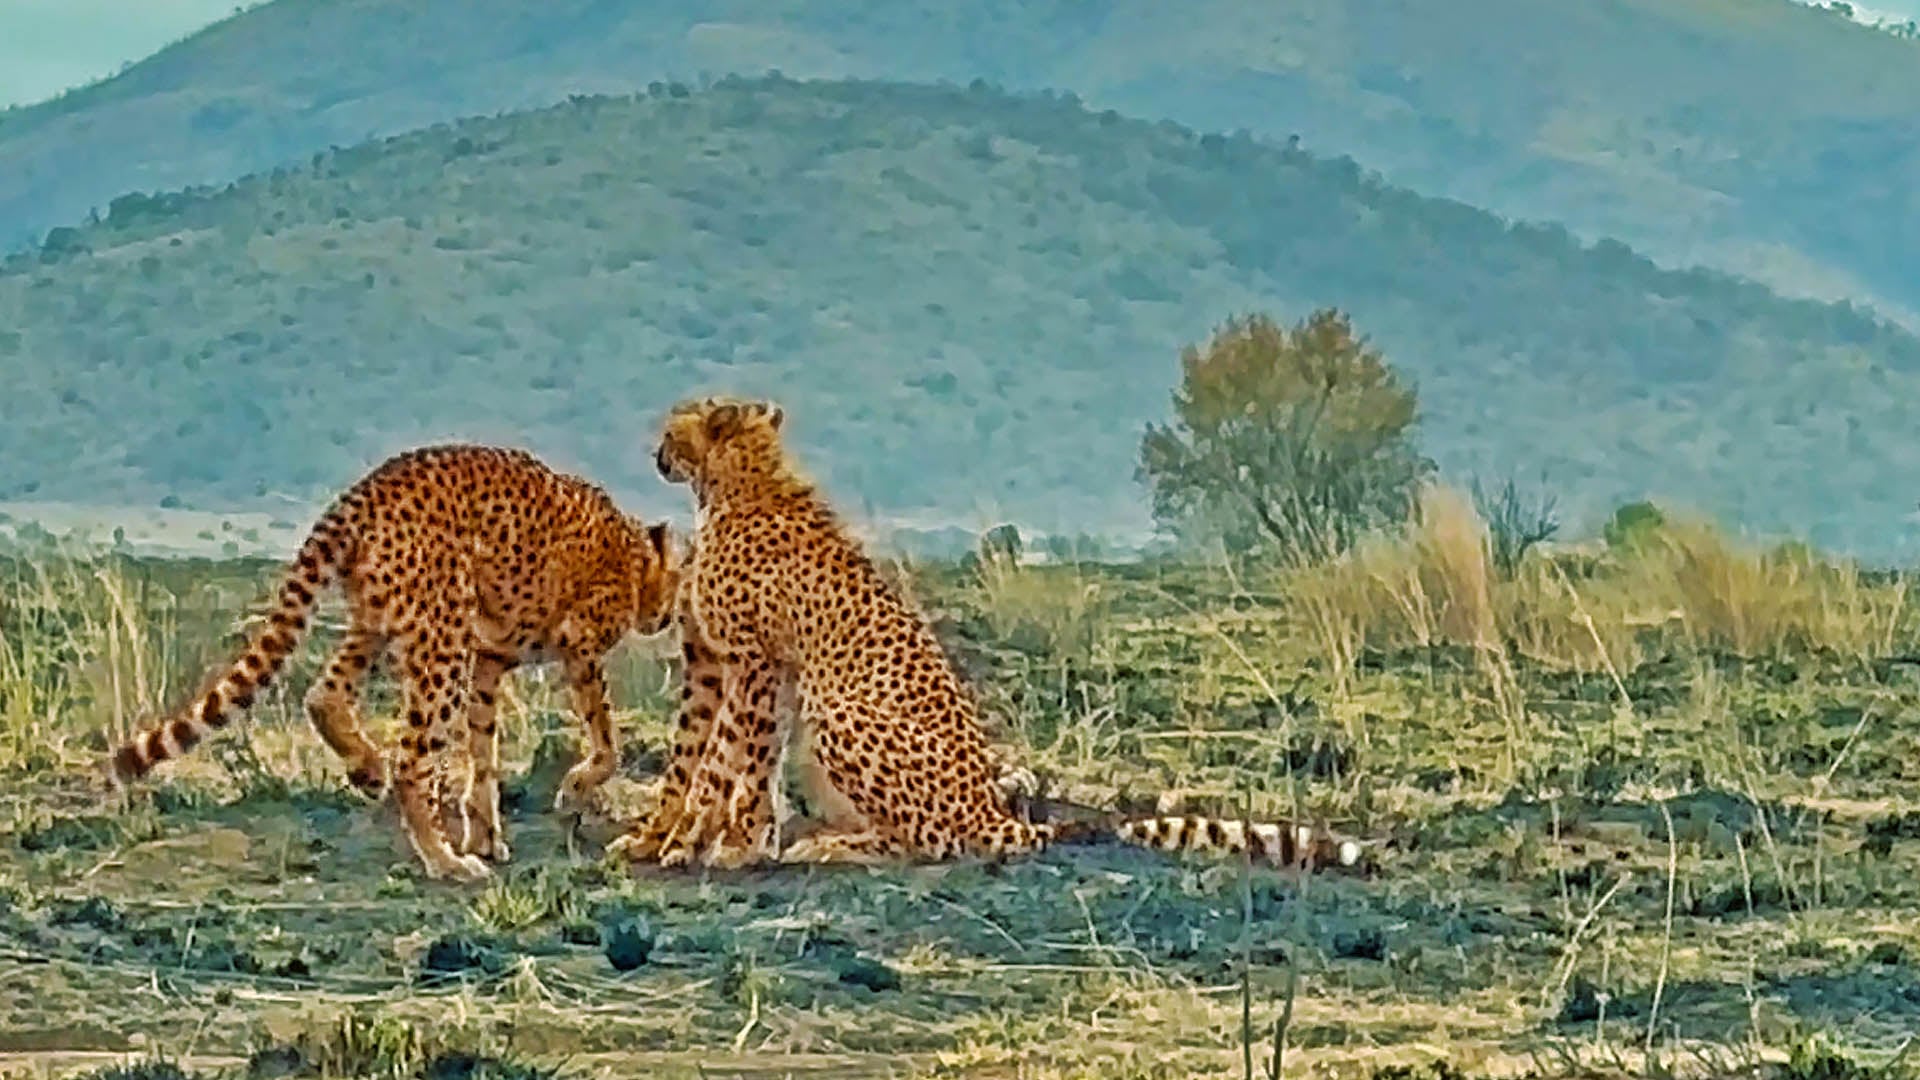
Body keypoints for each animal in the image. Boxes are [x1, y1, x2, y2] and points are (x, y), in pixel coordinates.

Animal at [105, 444, 679, 883]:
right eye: (679, 576)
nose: (670, 616)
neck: (635, 553)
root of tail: (372, 484)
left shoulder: (488, 662)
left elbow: (483, 751)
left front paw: (485, 833)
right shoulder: (577, 645)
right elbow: (606, 736)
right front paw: (571, 788)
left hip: (380, 621)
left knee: (324, 695)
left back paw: (367, 769)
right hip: (441, 639)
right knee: (412, 762)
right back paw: (444, 860)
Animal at [604, 396, 1369, 874]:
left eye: (674, 427)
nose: (655, 452)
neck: (738, 482)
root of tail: (997, 813)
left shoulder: (755, 661)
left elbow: (735, 761)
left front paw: (720, 845)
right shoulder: (744, 664)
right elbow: (724, 762)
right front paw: (693, 840)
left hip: (840, 711)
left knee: (931, 843)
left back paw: (837, 846)